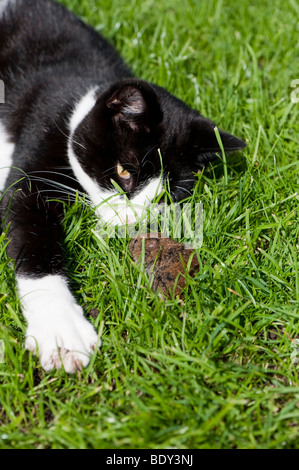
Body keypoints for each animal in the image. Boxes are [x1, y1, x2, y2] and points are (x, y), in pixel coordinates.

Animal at [0, 0, 246, 374]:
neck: (78, 103)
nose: (132, 221)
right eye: (123, 171)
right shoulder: (41, 129)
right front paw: (60, 331)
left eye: (170, 194)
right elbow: (29, 229)